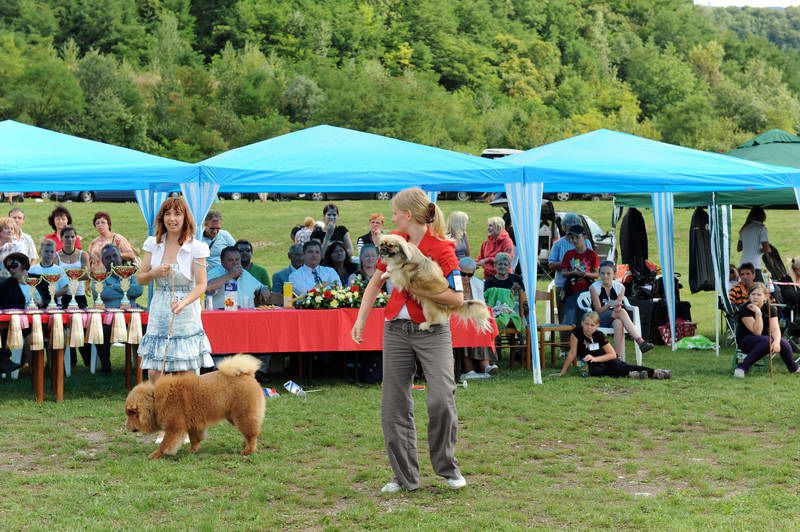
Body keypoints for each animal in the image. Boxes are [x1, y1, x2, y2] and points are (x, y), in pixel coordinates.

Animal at [123, 354, 264, 458]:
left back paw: (248, 450)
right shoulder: (193, 425)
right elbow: (195, 439)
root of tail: (248, 375)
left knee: (251, 435)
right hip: (234, 417)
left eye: (130, 414)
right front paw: (192, 451)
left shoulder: (174, 427)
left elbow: (165, 444)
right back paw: (245, 445)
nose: (126, 426)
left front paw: (156, 454)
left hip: (243, 415)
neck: (155, 400)